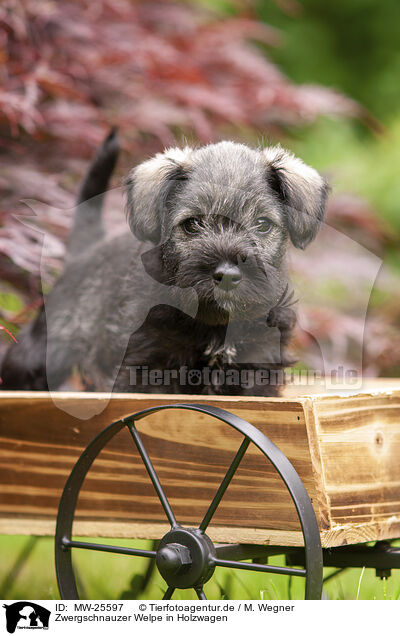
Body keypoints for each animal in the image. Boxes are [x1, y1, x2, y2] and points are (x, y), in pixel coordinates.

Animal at [0, 132, 328, 396]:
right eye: (192, 224)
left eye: (262, 224)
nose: (227, 274)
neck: (214, 327)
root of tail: (88, 250)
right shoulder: (145, 367)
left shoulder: (258, 371)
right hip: (42, 352)